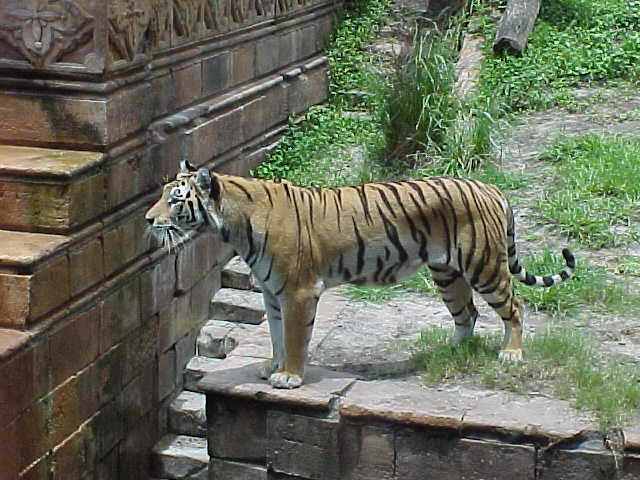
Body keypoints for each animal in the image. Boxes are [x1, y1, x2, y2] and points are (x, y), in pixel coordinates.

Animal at [145, 160, 575, 389]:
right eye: (163, 194)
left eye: (175, 199)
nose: (148, 219)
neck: (233, 225)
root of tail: (490, 187)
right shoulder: (272, 293)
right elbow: (276, 333)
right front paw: (273, 366)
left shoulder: (298, 291)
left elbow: (295, 337)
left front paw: (289, 376)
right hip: (446, 272)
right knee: (466, 313)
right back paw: (451, 350)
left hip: (484, 264)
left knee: (514, 307)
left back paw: (511, 353)